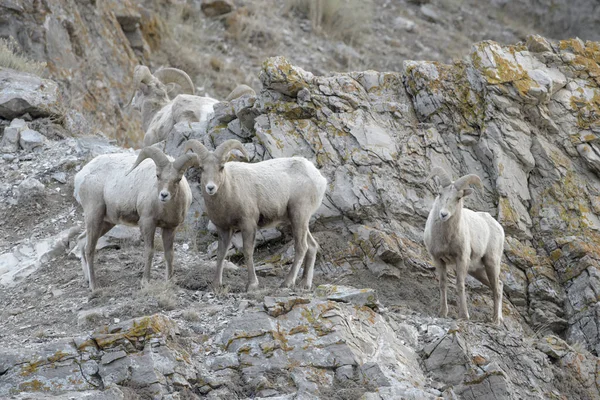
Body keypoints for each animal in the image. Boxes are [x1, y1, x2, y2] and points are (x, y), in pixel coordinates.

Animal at [74, 147, 200, 290]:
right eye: (158, 176)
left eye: (178, 179)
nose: (164, 195)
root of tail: (81, 175)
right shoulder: (147, 223)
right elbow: (149, 251)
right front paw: (145, 282)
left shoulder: (170, 228)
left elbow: (169, 254)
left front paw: (169, 281)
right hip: (94, 216)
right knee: (89, 248)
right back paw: (94, 286)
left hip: (106, 222)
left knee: (81, 241)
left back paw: (87, 279)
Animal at [184, 139, 328, 292]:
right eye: (202, 168)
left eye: (221, 167)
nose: (210, 188)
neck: (229, 191)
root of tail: (320, 179)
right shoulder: (224, 229)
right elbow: (221, 253)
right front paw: (216, 284)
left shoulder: (248, 225)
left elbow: (248, 251)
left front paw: (252, 284)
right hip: (297, 221)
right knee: (312, 246)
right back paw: (304, 284)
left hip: (299, 216)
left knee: (302, 247)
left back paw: (287, 283)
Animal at [424, 167, 504, 324]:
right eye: (440, 193)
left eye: (458, 198)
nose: (443, 214)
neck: (446, 238)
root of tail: (498, 226)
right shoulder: (438, 259)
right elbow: (443, 284)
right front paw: (443, 313)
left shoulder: (461, 259)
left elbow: (460, 284)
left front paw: (464, 315)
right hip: (478, 271)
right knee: (498, 285)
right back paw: (496, 318)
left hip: (491, 263)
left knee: (497, 289)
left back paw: (496, 321)